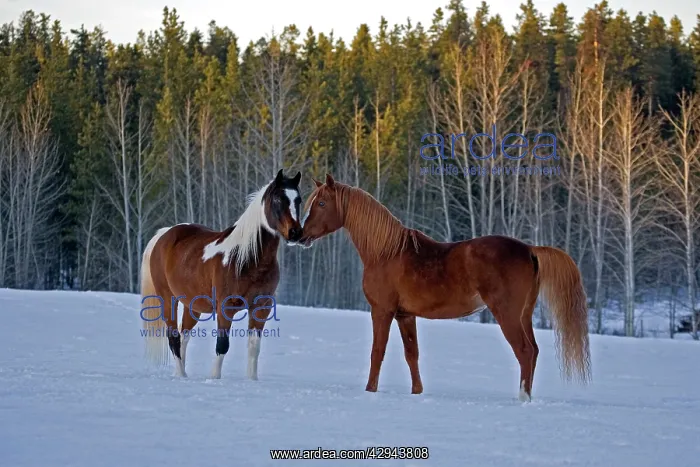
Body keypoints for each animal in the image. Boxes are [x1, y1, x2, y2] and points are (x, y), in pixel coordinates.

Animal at [140, 170, 304, 380]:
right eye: (277, 199)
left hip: (192, 305)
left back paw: (181, 373)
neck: (246, 258)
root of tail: (164, 234)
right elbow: (222, 345)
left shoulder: (261, 307)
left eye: (298, 199)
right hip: (168, 299)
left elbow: (254, 347)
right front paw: (214, 379)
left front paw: (252, 380)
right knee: (174, 337)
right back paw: (182, 376)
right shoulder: (225, 308)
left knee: (184, 336)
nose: (295, 233)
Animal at [299, 174, 590, 402]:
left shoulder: (382, 311)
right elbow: (412, 354)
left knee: (525, 351)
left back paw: (523, 399)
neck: (386, 252)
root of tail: (529, 249)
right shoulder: (405, 316)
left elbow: (377, 353)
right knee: (534, 351)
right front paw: (417, 393)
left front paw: (370, 391)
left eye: (321, 203)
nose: (300, 236)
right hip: (525, 315)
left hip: (507, 314)